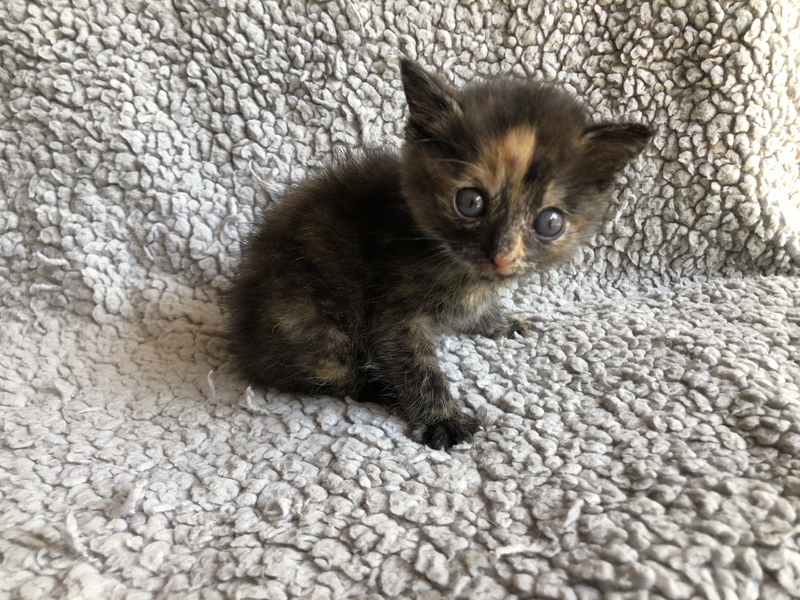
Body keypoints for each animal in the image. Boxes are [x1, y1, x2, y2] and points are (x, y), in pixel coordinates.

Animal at [226, 58, 651, 450]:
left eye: (549, 222)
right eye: (470, 202)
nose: (500, 255)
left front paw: (499, 323)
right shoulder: (392, 310)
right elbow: (415, 366)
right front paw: (443, 419)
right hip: (314, 326)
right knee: (322, 373)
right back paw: (377, 387)